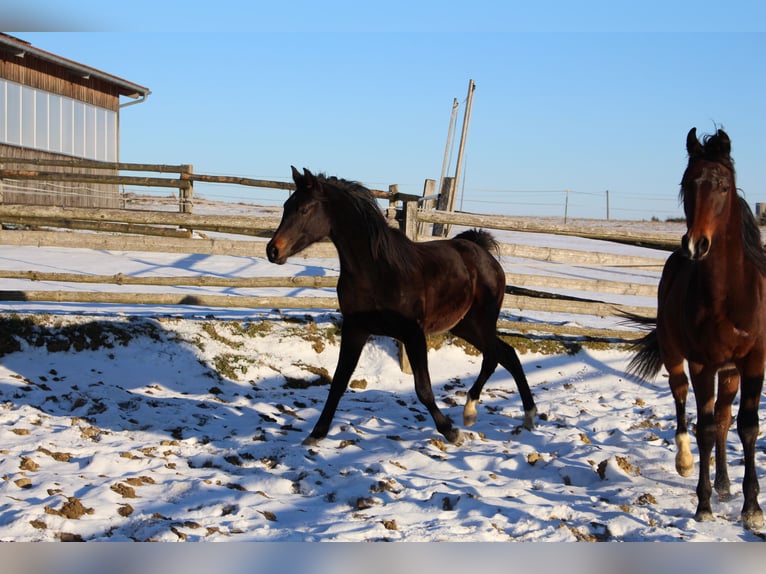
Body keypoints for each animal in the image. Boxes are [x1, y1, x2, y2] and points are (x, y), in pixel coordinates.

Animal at [266, 166, 537, 446]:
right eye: (286, 205)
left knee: (494, 356)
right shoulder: (355, 329)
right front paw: (316, 433)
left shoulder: (413, 334)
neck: (376, 272)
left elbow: (423, 389)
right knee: (508, 354)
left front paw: (450, 432)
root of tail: (483, 253)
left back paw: (470, 411)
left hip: (482, 320)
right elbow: (339, 382)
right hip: (465, 325)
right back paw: (527, 416)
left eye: (305, 209)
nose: (273, 251)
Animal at [628, 128, 766, 531]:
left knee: (722, 417)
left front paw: (752, 508)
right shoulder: (703, 363)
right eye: (687, 183)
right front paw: (703, 505)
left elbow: (746, 427)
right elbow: (702, 428)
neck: (728, 295)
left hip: (730, 372)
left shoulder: (754, 361)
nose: (695, 244)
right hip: (677, 356)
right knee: (681, 397)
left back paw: (724, 484)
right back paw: (686, 463)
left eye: (723, 185)